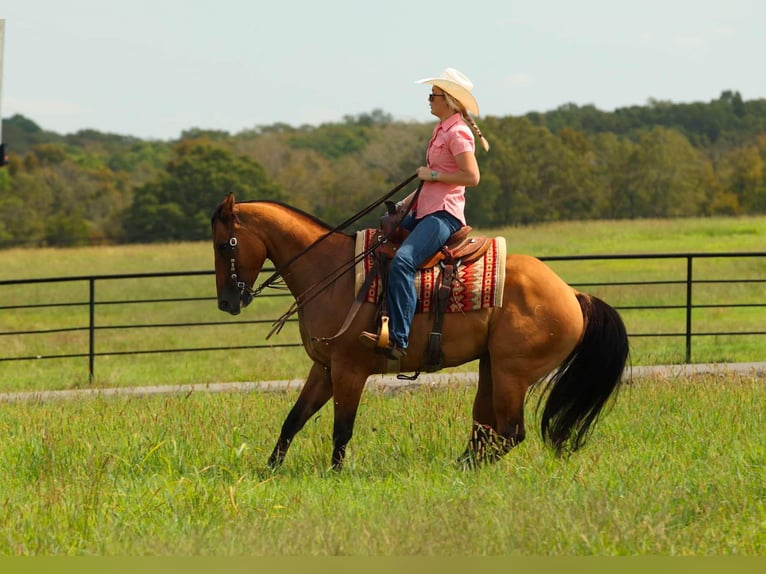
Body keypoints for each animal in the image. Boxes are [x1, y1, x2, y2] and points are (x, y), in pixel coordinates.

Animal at [211, 193, 630, 470]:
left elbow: (341, 429)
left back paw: (462, 469)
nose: (227, 302)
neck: (330, 272)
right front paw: (269, 471)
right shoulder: (325, 367)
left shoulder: (349, 370)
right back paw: (458, 468)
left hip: (513, 372)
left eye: (223, 244)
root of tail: (573, 295)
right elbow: (294, 419)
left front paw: (334, 475)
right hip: (491, 366)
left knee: (510, 431)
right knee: (486, 428)